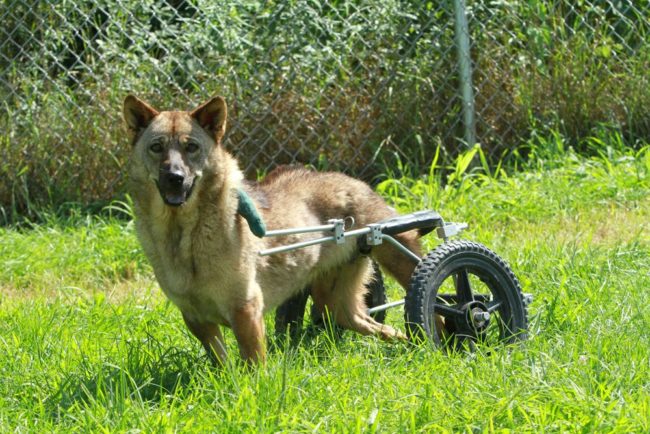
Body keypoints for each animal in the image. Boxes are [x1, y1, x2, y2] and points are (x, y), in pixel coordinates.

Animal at [123, 96, 420, 366]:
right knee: (369, 322)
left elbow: (253, 367)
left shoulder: (246, 309)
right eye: (157, 147)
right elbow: (222, 365)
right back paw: (408, 344)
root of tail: (355, 182)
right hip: (334, 300)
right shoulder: (196, 318)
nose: (175, 178)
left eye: (191, 147)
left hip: (399, 256)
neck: (183, 233)